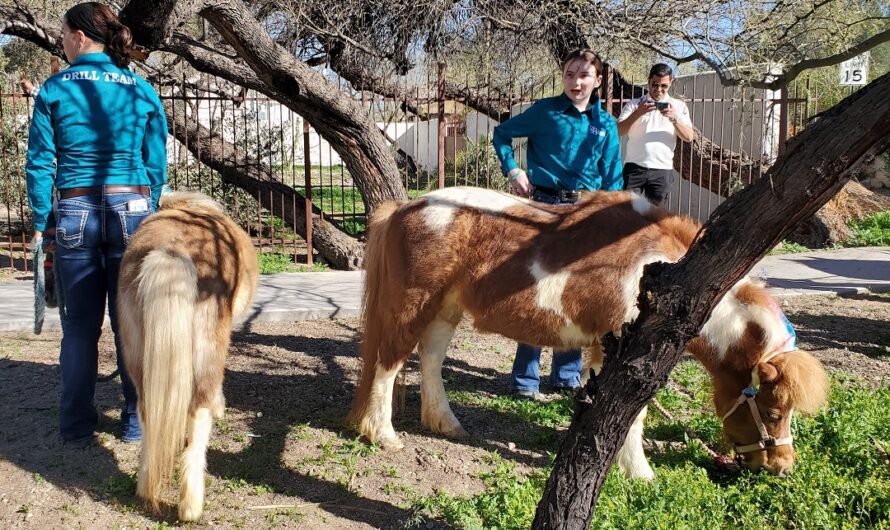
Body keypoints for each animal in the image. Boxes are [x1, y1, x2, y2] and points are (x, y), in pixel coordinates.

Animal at [118, 191, 258, 521]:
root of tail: (170, 251)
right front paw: (221, 406)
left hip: (138, 357)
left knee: (147, 410)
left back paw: (145, 488)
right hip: (208, 348)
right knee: (199, 412)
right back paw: (191, 506)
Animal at [348, 186, 828, 478]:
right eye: (772, 411)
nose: (783, 465)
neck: (663, 272)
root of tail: (405, 208)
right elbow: (634, 417)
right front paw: (640, 474)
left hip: (445, 310)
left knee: (429, 360)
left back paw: (446, 424)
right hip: (412, 306)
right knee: (389, 362)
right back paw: (383, 435)